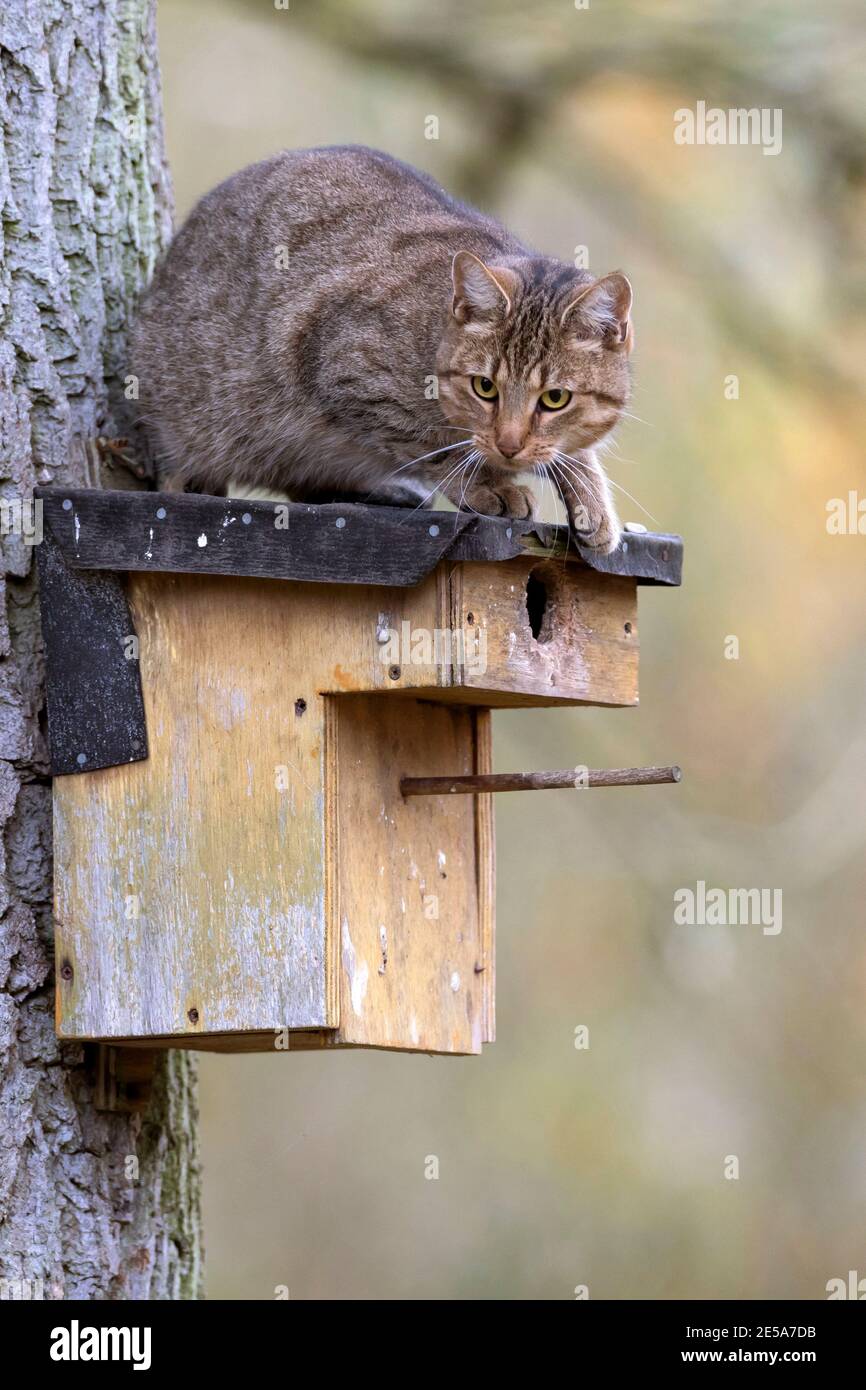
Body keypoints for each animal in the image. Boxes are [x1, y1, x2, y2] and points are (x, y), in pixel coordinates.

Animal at [128, 142, 633, 547]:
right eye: (484, 387)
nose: (508, 445)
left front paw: (591, 501)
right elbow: (434, 447)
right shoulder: (346, 371)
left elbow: (574, 451)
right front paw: (484, 485)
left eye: (555, 398)